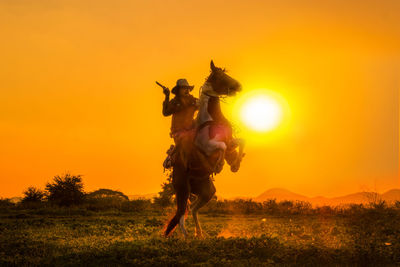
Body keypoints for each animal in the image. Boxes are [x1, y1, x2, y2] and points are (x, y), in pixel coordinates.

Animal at [165, 60, 245, 239]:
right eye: (220, 76)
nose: (239, 86)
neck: (212, 119)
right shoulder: (208, 147)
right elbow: (221, 147)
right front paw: (220, 165)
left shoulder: (230, 141)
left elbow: (240, 141)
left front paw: (235, 164)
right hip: (183, 189)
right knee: (181, 214)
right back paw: (187, 236)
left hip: (207, 191)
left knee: (193, 208)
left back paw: (200, 234)